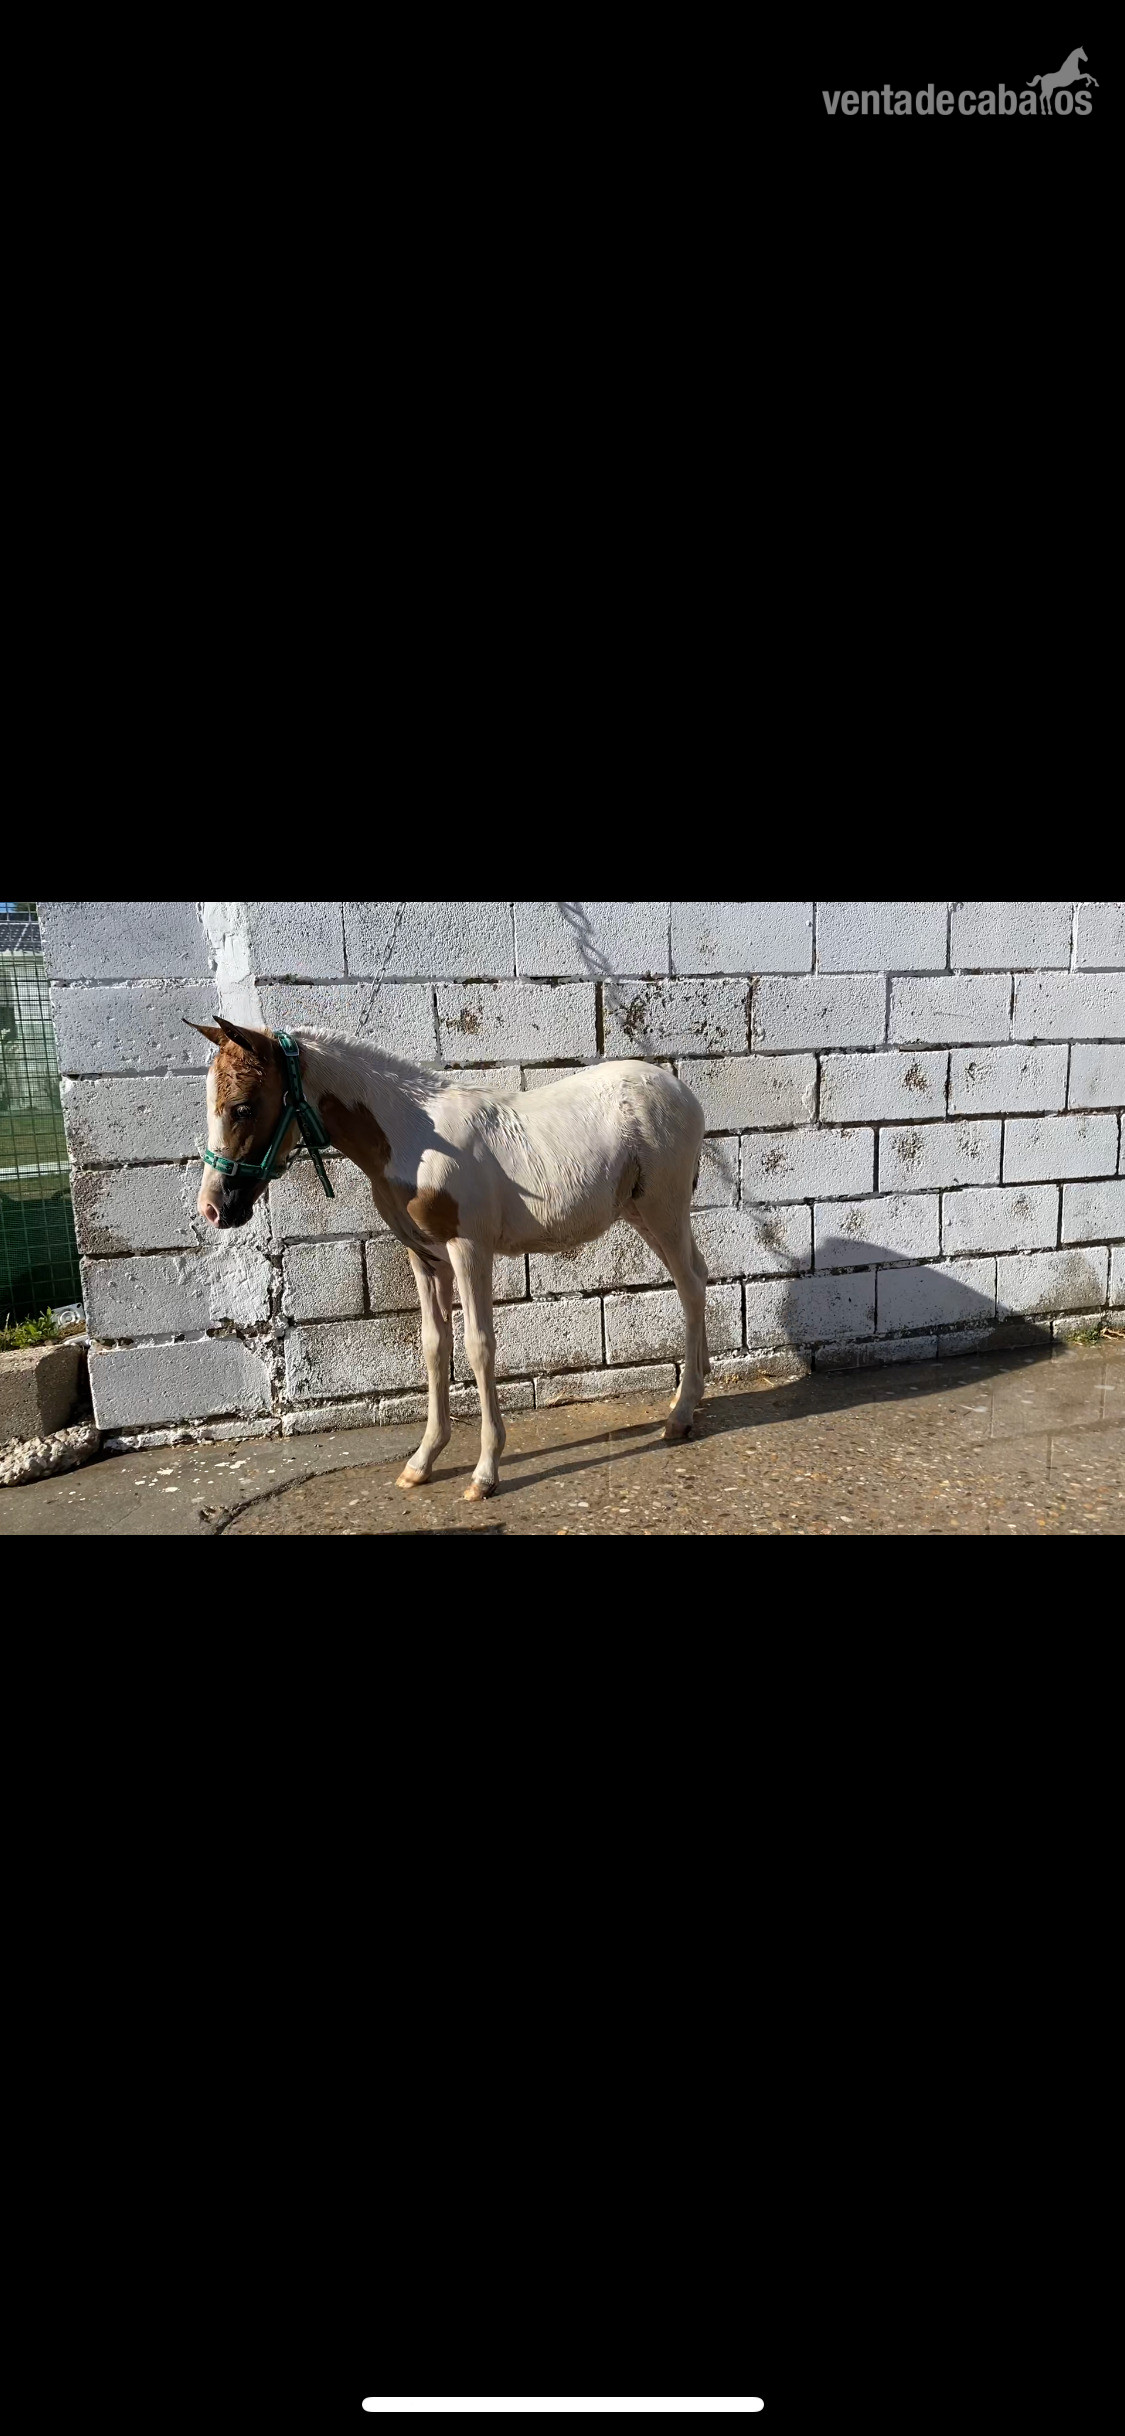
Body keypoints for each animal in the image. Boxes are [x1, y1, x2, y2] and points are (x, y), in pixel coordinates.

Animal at [186, 1019, 710, 1500]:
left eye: (243, 1106)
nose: (212, 1208)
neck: (414, 1139)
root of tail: (683, 1090)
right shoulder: (424, 1256)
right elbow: (435, 1347)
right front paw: (422, 1461)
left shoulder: (469, 1248)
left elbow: (478, 1346)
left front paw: (484, 1473)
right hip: (641, 1213)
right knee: (699, 1276)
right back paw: (690, 1395)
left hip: (663, 1209)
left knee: (688, 1286)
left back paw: (681, 1414)